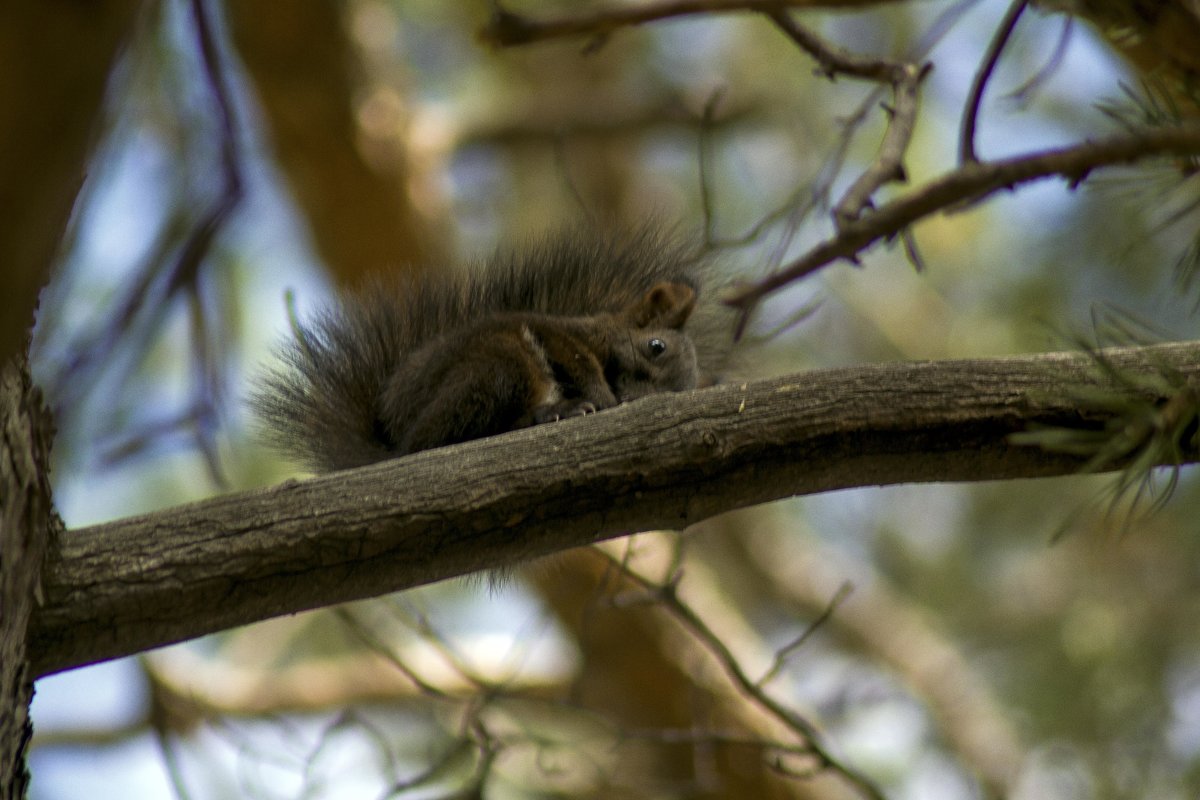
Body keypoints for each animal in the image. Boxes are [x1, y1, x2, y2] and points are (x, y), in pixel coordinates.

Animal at [252, 227, 720, 472]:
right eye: (655, 346)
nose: (640, 403)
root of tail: (395, 439)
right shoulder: (561, 335)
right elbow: (576, 360)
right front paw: (601, 398)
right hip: (497, 368)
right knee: (444, 438)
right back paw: (554, 411)